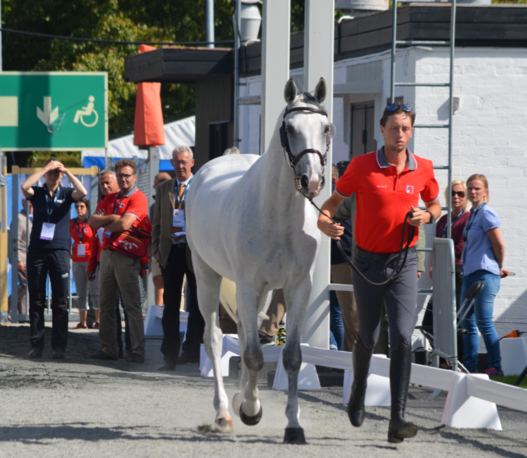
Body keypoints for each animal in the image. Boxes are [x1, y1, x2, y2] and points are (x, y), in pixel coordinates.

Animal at [186, 78, 334, 444]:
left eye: (326, 128)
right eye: (290, 128)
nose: (312, 181)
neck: (278, 216)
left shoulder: (296, 288)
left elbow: (291, 357)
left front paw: (293, 425)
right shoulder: (247, 286)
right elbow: (252, 355)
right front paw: (251, 411)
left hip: (262, 292)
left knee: (241, 332)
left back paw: (240, 398)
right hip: (208, 278)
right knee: (214, 339)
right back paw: (225, 411)